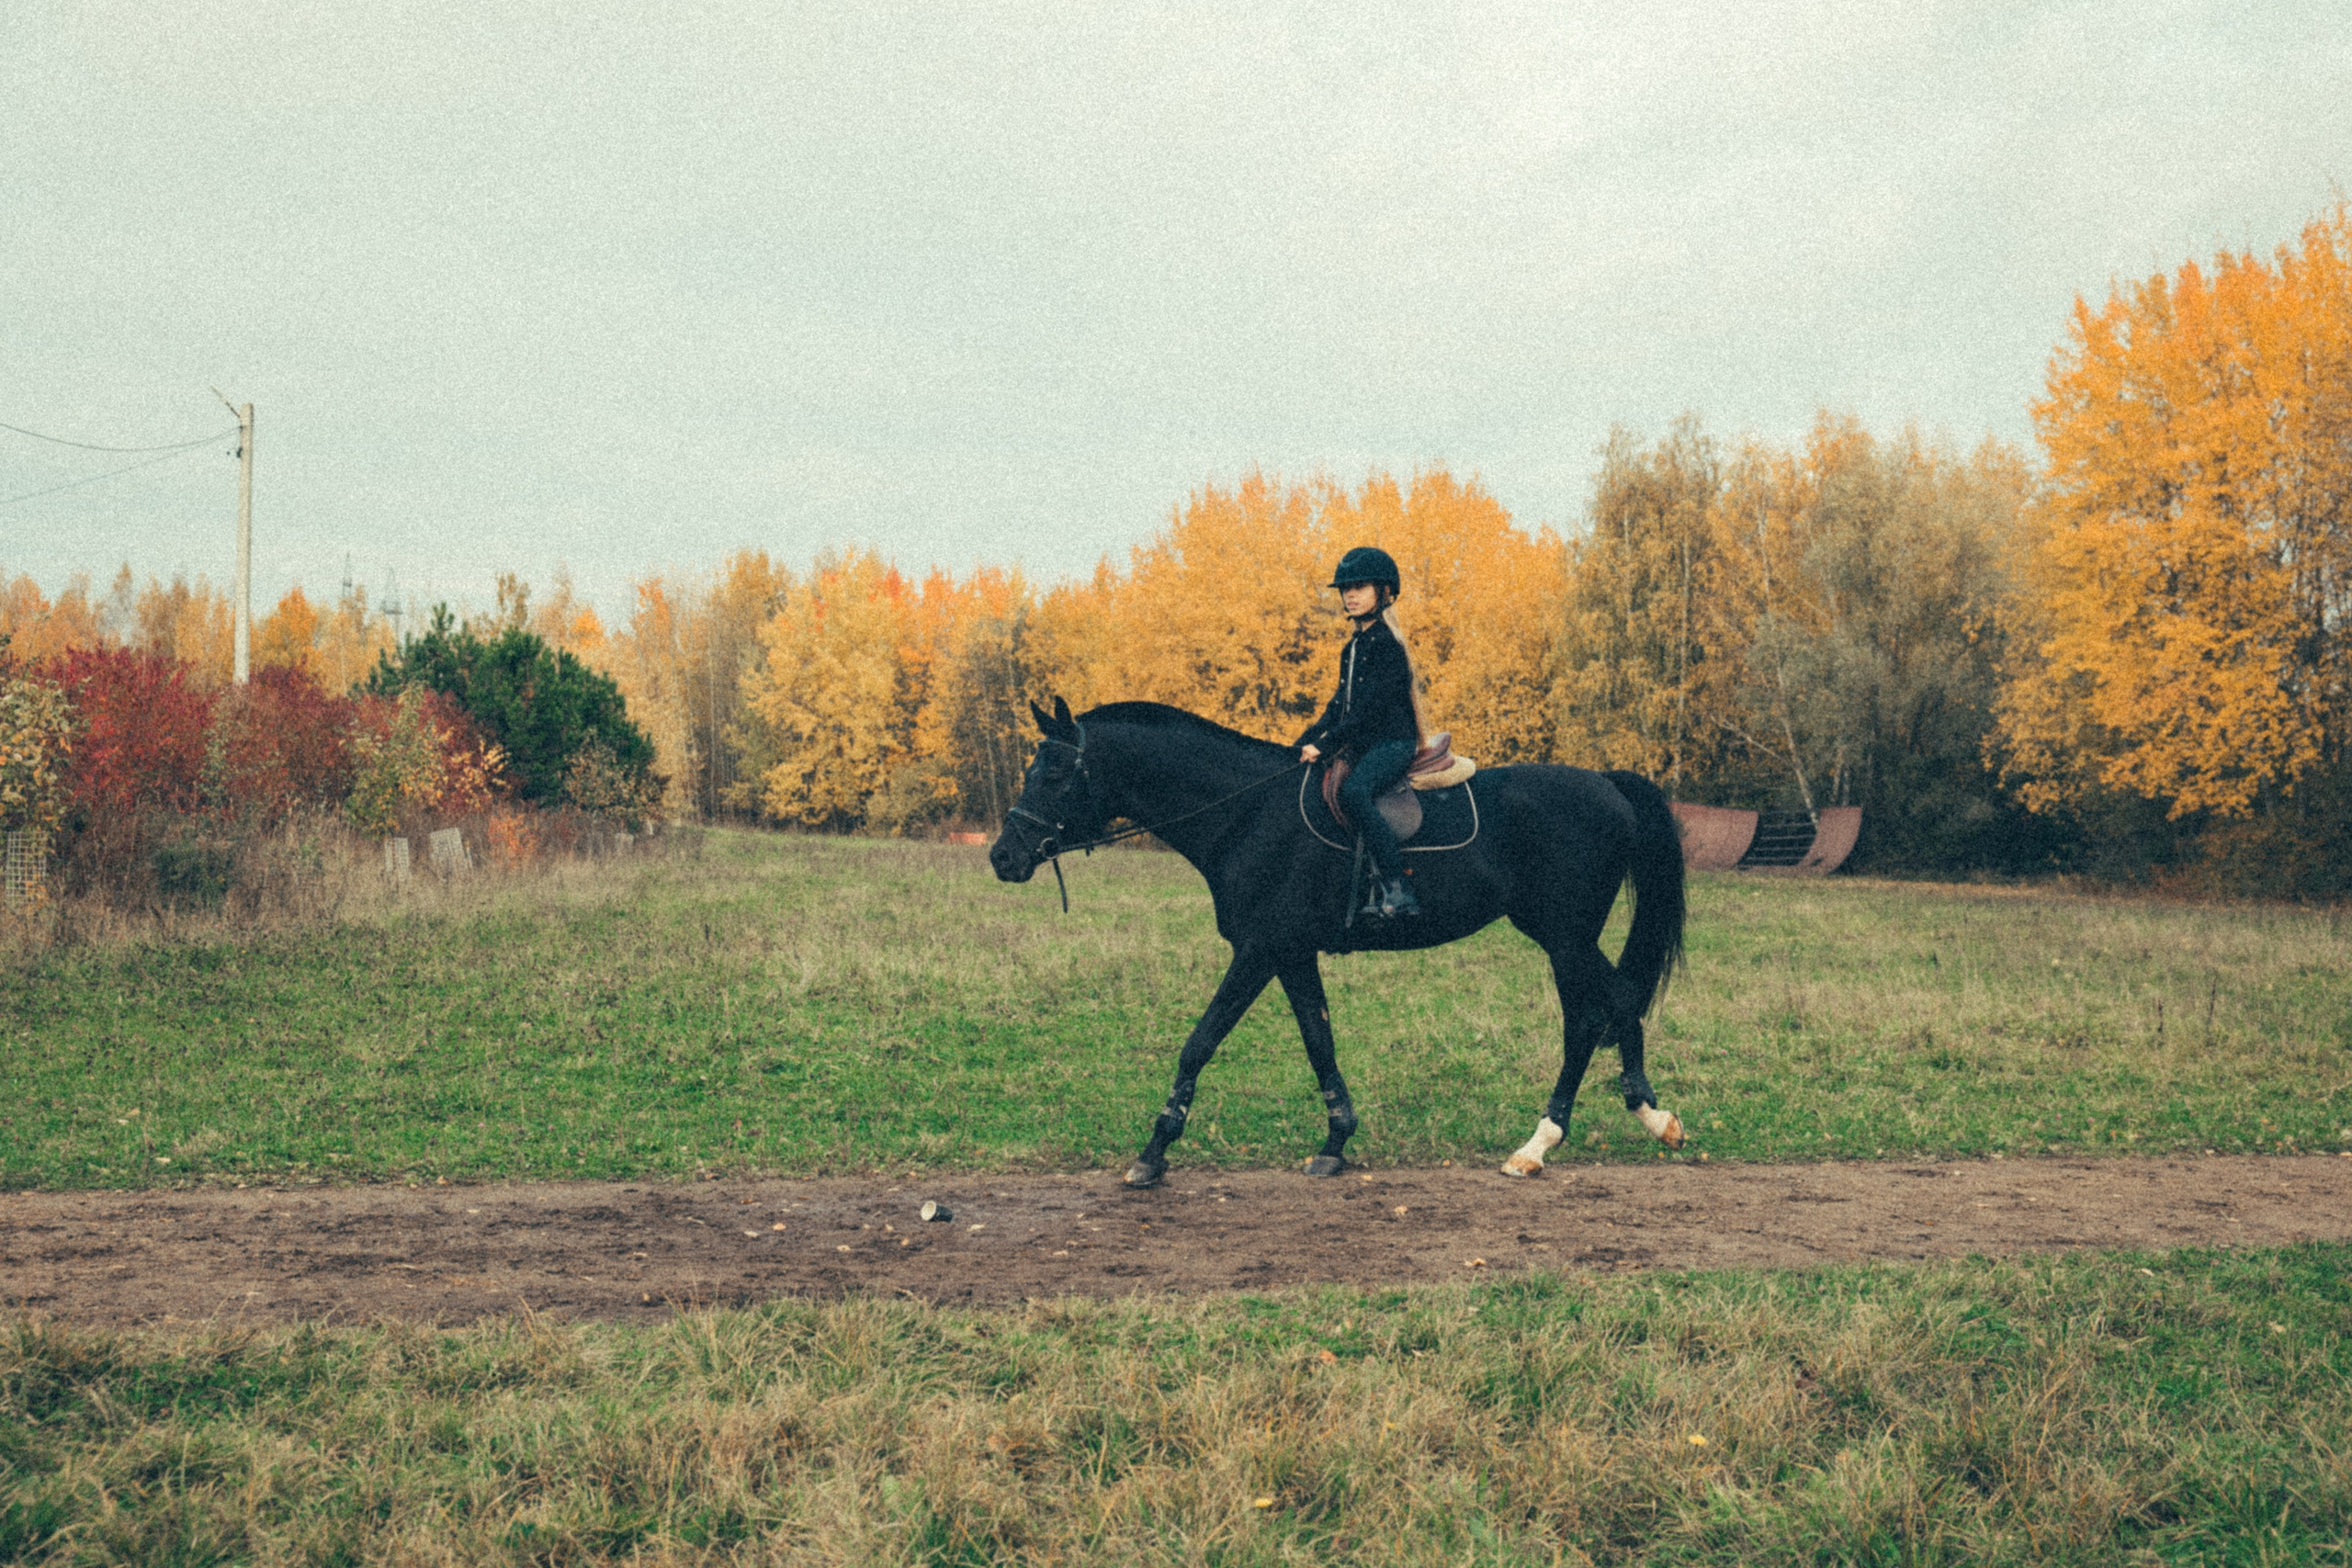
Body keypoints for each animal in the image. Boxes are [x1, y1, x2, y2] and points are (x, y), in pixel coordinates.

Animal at [989, 698, 1689, 1188]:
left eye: (1056, 771)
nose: (1002, 856)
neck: (1245, 814)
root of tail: (1607, 783)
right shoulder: (1291, 953)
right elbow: (1318, 1041)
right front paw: (1335, 1143)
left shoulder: (1259, 950)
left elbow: (1200, 1042)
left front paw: (1154, 1151)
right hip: (1562, 938)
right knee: (1599, 1012)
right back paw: (1600, 1125)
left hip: (1564, 935)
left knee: (1605, 1008)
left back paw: (1575, 1134)